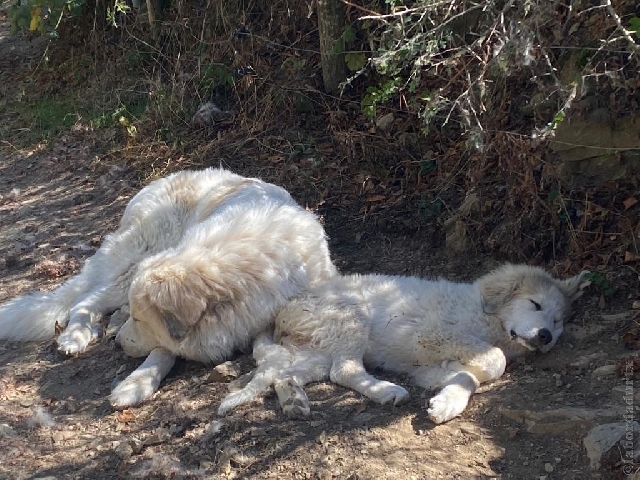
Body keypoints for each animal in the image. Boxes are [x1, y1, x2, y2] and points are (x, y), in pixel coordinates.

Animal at [0, 168, 338, 408]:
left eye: (140, 319)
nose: (117, 345)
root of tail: (162, 180)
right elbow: (163, 349)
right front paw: (137, 383)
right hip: (140, 257)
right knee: (84, 299)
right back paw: (75, 336)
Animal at [218, 262, 588, 424]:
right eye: (535, 305)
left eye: (558, 322)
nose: (545, 337)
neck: (488, 318)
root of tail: (283, 309)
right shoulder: (437, 334)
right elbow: (494, 360)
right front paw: (481, 370)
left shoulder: (426, 366)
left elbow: (466, 377)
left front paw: (447, 403)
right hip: (350, 316)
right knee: (344, 370)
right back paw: (387, 391)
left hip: (318, 348)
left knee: (286, 374)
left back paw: (294, 399)